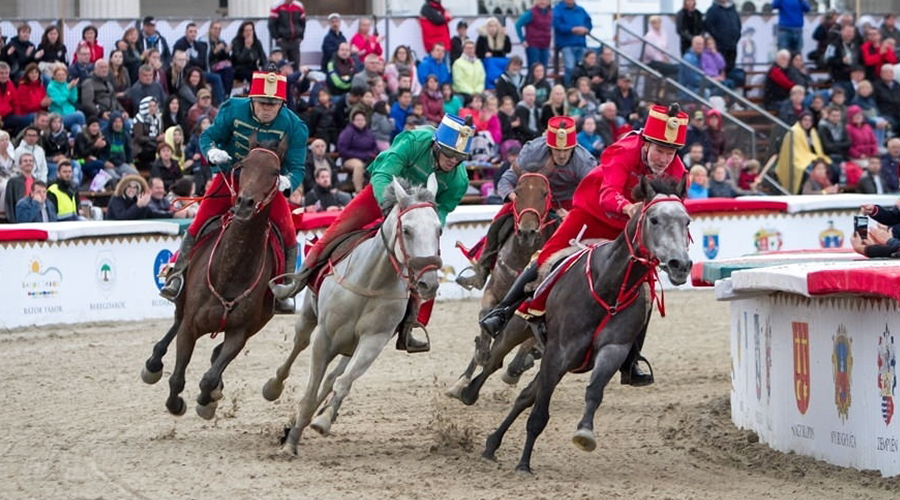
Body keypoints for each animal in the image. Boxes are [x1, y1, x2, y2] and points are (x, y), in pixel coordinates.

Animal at [142, 139, 286, 420]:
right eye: (242, 166)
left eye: (276, 172)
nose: (245, 203)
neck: (230, 273)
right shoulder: (190, 326)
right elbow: (177, 376)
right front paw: (176, 403)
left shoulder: (239, 332)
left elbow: (209, 376)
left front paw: (206, 400)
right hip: (181, 302)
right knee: (175, 324)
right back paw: (153, 364)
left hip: (258, 323)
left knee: (216, 357)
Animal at [260, 177, 442, 458]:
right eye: (408, 230)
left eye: (439, 230)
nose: (428, 282)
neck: (371, 282)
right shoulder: (324, 338)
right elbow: (310, 392)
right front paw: (291, 444)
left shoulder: (373, 342)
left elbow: (343, 382)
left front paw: (322, 421)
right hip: (309, 318)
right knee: (299, 345)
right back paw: (274, 388)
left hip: (349, 346)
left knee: (333, 378)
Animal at [444, 174, 552, 400]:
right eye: (517, 192)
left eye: (544, 194)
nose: (527, 232)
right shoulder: (492, 295)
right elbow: (486, 321)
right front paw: (481, 354)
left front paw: (514, 368)